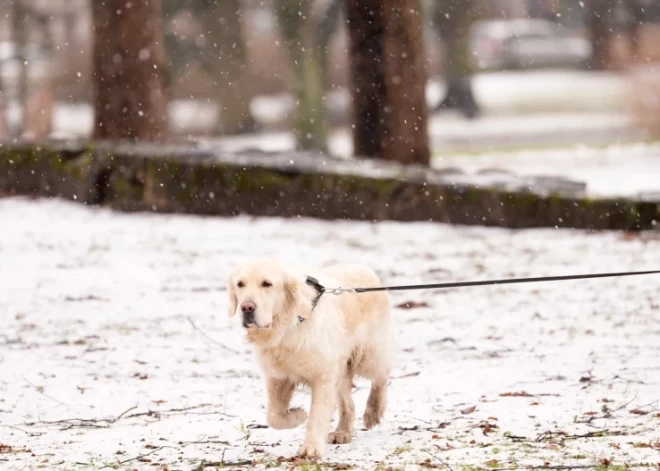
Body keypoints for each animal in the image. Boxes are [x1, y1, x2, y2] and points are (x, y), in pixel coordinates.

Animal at [228, 256, 392, 460]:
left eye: (267, 284)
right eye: (240, 284)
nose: (247, 307)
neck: (289, 326)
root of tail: (366, 269)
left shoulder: (322, 377)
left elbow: (316, 416)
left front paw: (311, 448)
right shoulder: (278, 378)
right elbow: (274, 416)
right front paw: (298, 415)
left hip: (369, 355)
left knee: (381, 378)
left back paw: (372, 413)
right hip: (340, 369)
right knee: (349, 404)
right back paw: (342, 432)